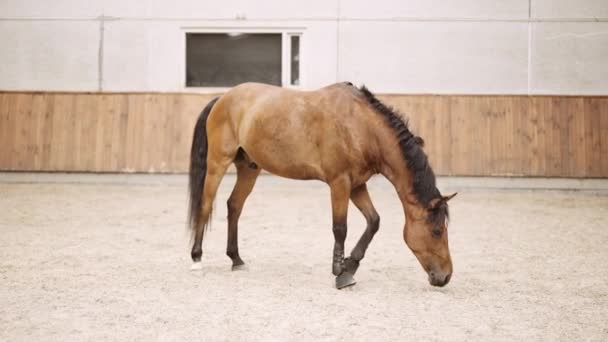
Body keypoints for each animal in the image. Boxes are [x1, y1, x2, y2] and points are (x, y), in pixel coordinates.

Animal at [189, 83, 456, 288]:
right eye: (436, 231)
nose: (445, 276)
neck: (361, 127)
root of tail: (222, 98)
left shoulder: (357, 185)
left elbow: (373, 222)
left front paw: (350, 265)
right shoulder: (339, 183)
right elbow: (340, 228)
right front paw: (340, 274)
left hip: (249, 168)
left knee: (234, 206)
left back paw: (236, 259)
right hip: (217, 163)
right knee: (205, 205)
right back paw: (197, 259)